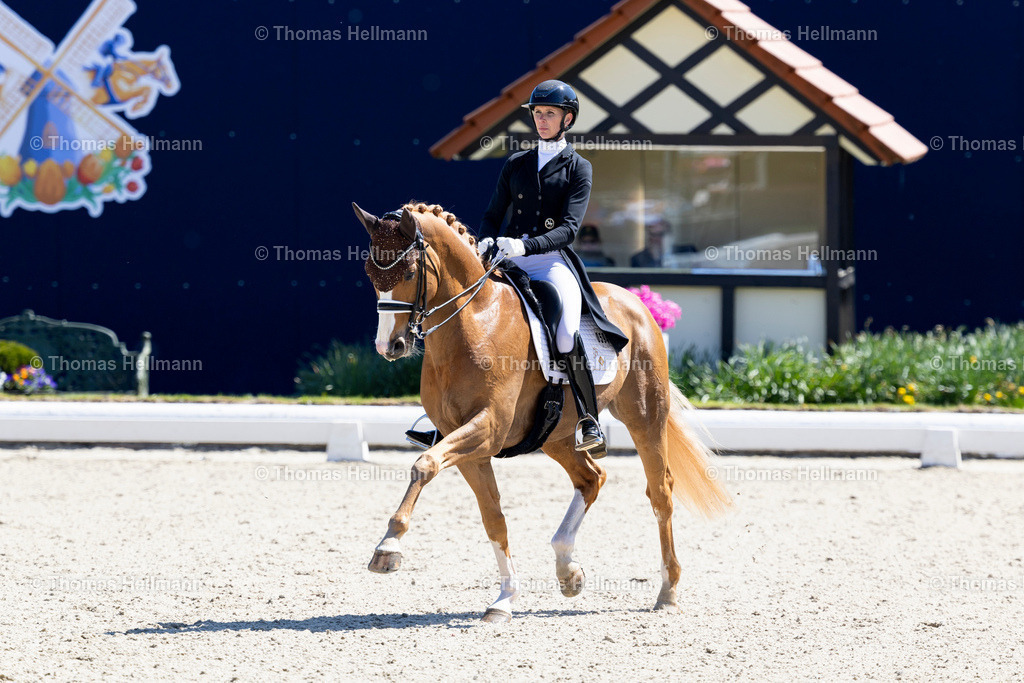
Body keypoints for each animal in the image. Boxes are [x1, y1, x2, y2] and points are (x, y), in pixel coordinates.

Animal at [353, 201, 731, 622]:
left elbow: (425, 465)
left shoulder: (487, 429)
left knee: (660, 491)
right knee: (591, 478)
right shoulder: (469, 445)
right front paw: (504, 599)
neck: (474, 322)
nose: (389, 346)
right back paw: (568, 571)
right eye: (369, 273)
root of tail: (635, 300)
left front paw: (388, 547)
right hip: (558, 435)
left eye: (409, 272)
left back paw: (667, 591)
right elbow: (493, 518)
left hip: (644, 415)